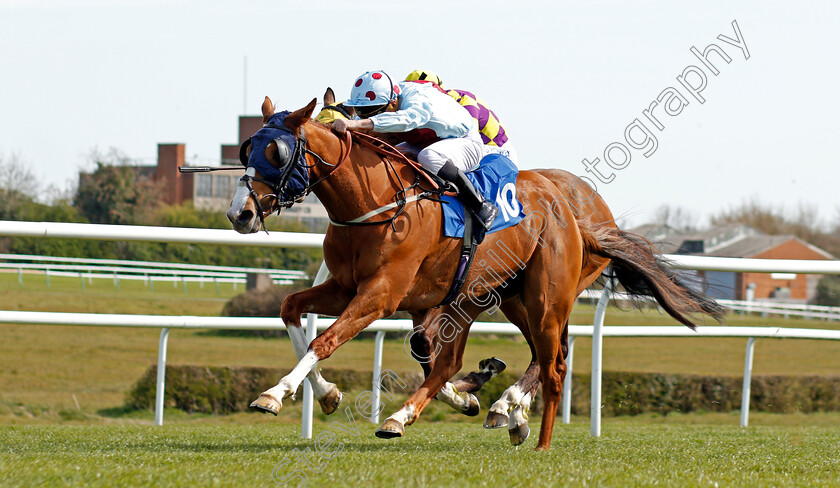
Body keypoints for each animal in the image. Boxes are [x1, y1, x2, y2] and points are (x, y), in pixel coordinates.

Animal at [228, 97, 720, 452]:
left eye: (276, 152)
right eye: (247, 148)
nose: (240, 213)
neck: (378, 204)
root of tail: (581, 217)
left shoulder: (383, 293)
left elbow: (326, 340)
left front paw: (276, 393)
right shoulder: (348, 286)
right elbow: (292, 309)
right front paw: (327, 393)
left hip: (542, 298)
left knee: (550, 358)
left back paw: (513, 420)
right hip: (501, 296)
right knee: (503, 357)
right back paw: (476, 410)